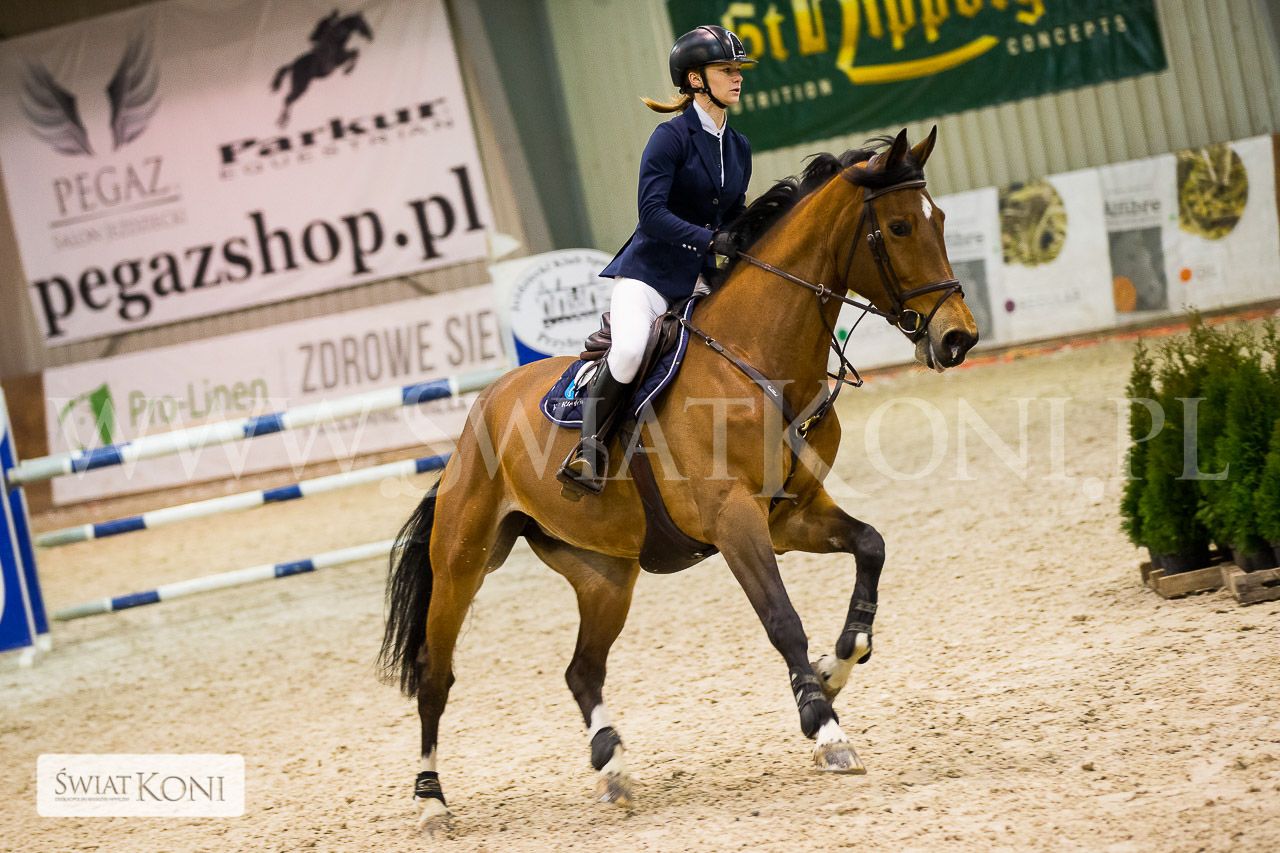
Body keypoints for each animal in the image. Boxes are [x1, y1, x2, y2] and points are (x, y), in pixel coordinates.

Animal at [379, 127, 979, 831]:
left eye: (940, 222)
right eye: (900, 226)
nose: (959, 338)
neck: (759, 364)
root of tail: (480, 412)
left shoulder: (792, 514)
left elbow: (871, 546)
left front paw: (836, 667)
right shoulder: (735, 521)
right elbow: (782, 619)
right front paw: (825, 726)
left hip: (606, 574)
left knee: (582, 671)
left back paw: (613, 767)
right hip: (462, 563)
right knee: (434, 674)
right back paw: (431, 799)